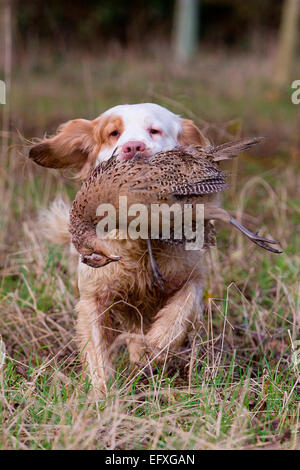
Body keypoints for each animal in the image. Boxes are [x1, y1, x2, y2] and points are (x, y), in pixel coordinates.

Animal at [28, 103, 211, 396]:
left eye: (154, 130)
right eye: (113, 133)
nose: (133, 147)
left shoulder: (192, 277)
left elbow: (178, 313)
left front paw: (152, 348)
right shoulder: (94, 296)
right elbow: (97, 352)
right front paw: (102, 395)